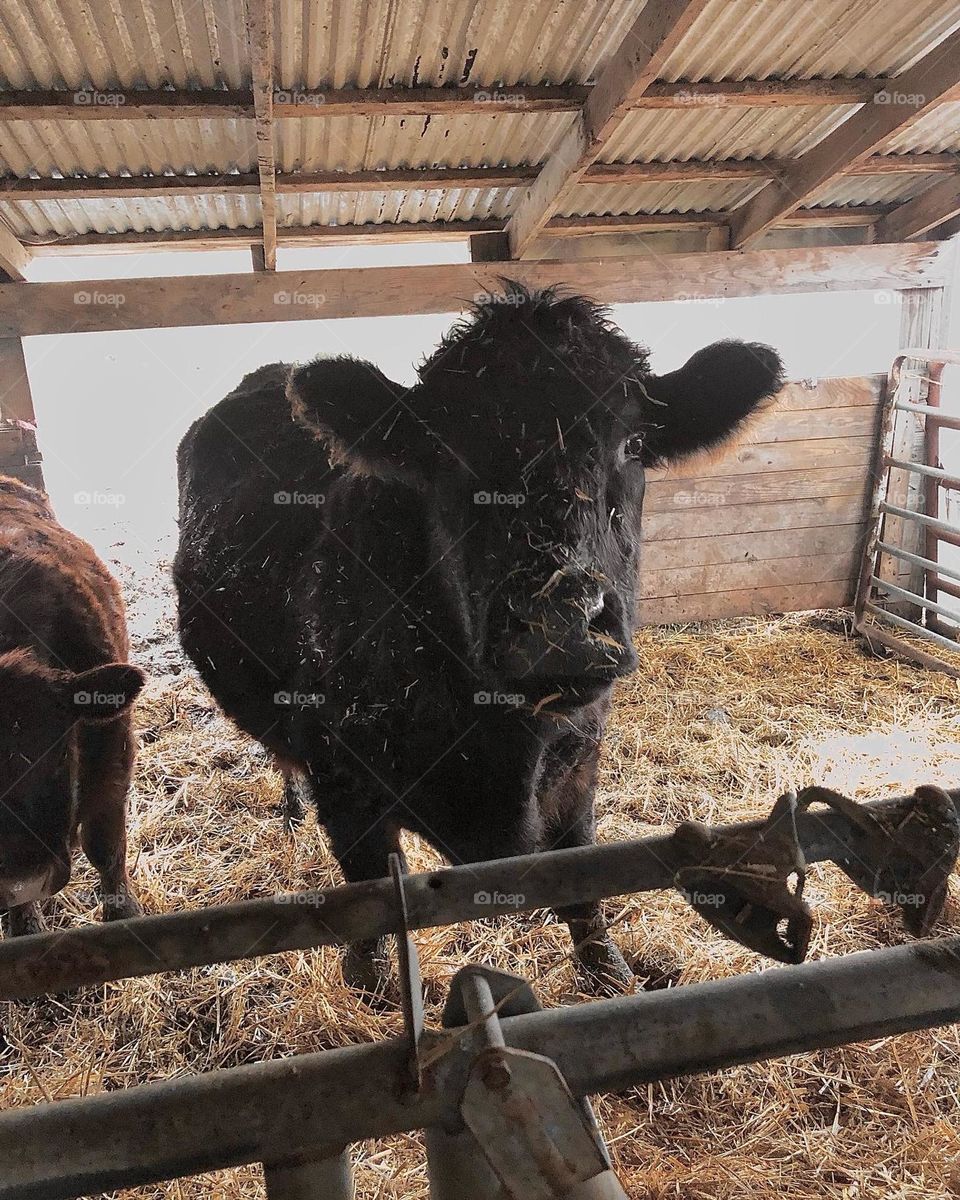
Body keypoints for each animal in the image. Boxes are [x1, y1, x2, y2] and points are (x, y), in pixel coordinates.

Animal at [0, 477, 145, 936]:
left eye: (57, 753)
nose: (21, 883)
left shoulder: (115, 761)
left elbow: (106, 846)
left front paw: (123, 913)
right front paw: (25, 925)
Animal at [174, 283, 783, 992]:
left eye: (634, 443)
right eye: (448, 452)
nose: (559, 626)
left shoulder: (578, 758)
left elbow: (584, 877)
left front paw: (610, 975)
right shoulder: (343, 782)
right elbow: (367, 898)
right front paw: (374, 981)